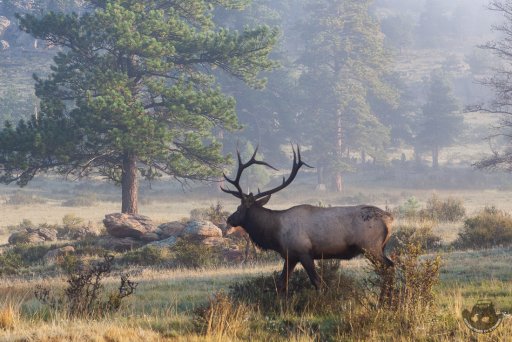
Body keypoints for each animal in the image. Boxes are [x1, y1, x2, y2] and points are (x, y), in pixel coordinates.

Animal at [222, 146, 394, 292]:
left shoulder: (303, 252)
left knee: (389, 268)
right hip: (379, 247)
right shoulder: (290, 256)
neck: (275, 234)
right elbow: (282, 283)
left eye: (239, 208)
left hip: (370, 246)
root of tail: (390, 219)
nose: (229, 219)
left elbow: (317, 282)